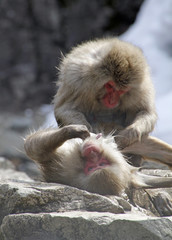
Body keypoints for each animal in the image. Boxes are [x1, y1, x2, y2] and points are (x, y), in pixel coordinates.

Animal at [23, 124, 172, 196]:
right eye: (91, 167)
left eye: (101, 164)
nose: (91, 153)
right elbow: (34, 149)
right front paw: (74, 131)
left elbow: (34, 149)